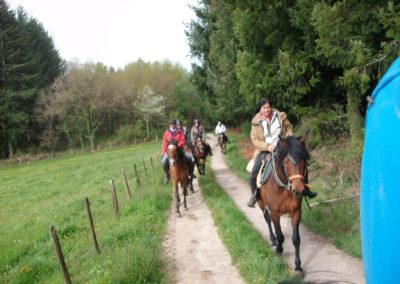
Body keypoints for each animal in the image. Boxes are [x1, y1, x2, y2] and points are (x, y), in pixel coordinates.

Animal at [258, 135, 310, 272]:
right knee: (267, 220)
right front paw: (279, 250)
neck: (283, 187)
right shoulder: (275, 213)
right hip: (261, 204)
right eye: (286, 162)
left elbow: (296, 239)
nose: (299, 190)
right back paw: (273, 240)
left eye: (303, 161)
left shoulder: (296, 212)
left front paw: (298, 266)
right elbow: (280, 236)